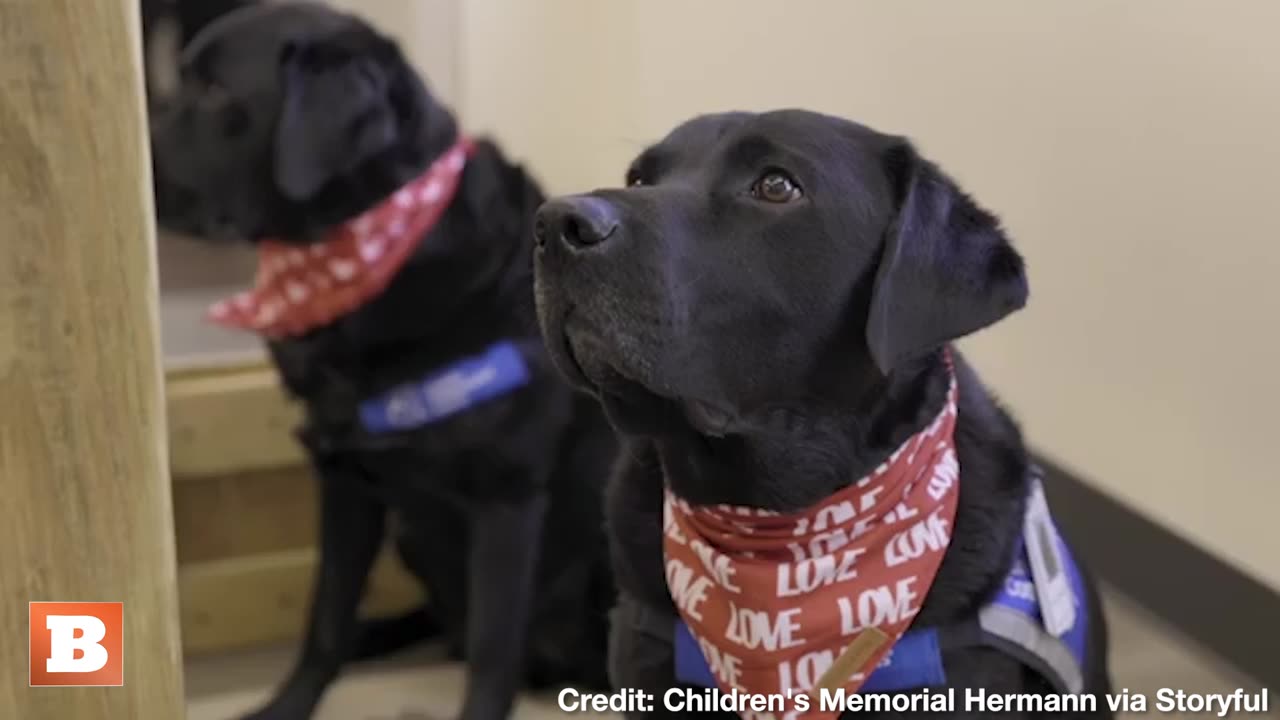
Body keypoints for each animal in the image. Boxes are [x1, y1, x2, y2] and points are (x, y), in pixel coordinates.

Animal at [147, 2, 616, 712]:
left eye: (215, 92)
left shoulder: (507, 496)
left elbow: (491, 652)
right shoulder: (346, 477)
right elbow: (324, 617)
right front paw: (287, 704)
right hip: (412, 536)